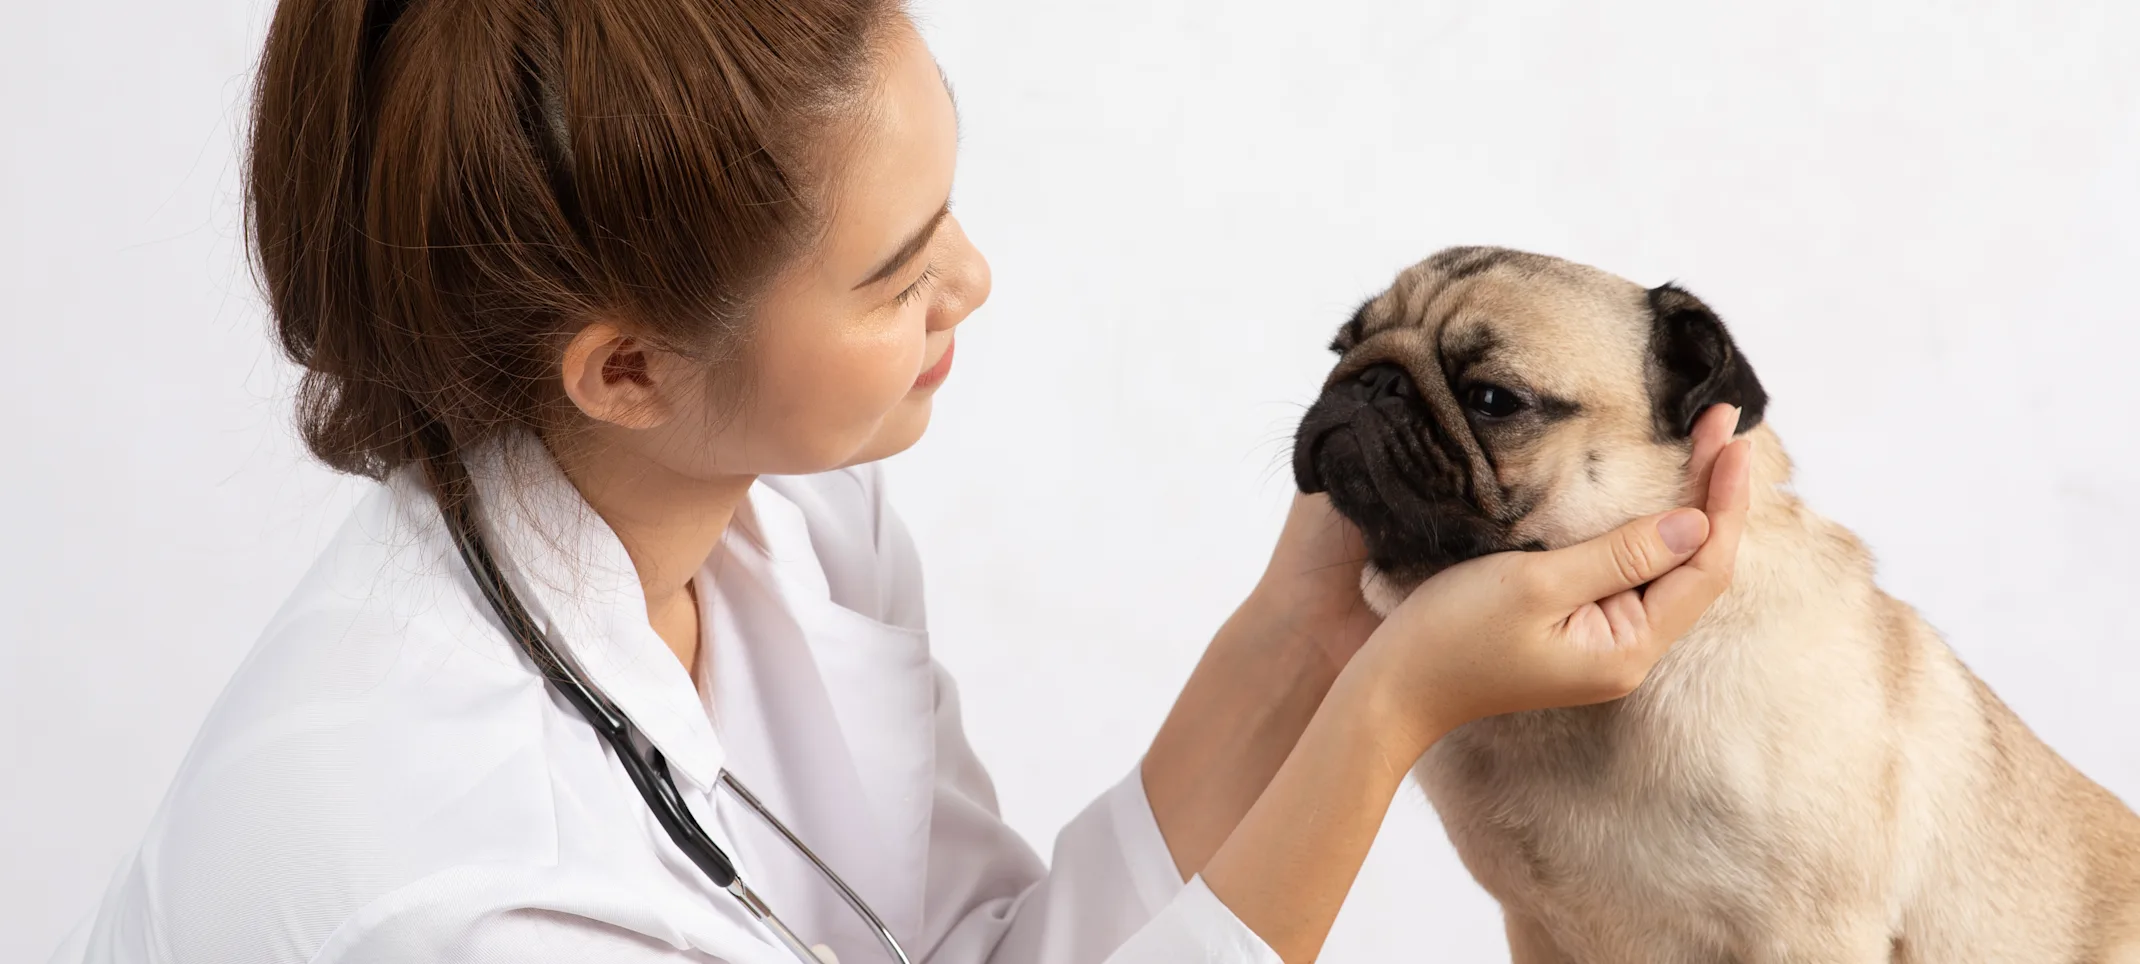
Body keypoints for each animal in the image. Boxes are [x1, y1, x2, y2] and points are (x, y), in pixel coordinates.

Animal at [1284, 248, 2140, 964]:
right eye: (1337, 349)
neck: (1577, 720)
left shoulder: (1810, 934)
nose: (1369, 383)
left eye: (1491, 398)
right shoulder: (1537, 928)